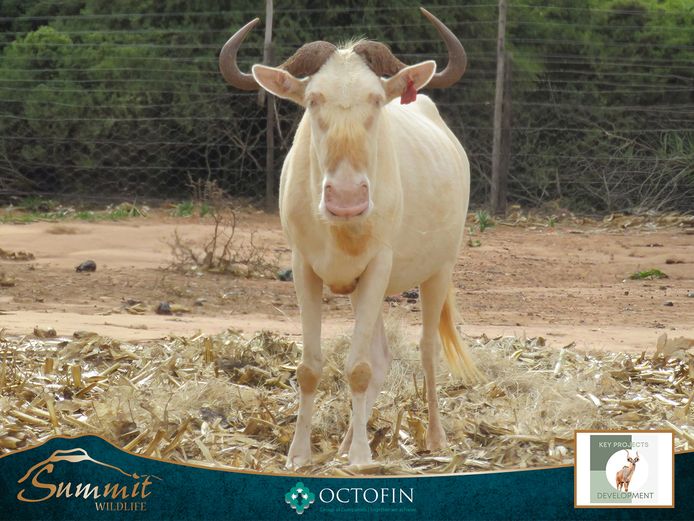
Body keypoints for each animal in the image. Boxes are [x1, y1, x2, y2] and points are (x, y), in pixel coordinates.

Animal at [219, 7, 484, 467]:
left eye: (376, 99)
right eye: (312, 100)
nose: (346, 200)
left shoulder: (379, 265)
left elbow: (359, 368)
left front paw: (361, 457)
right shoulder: (306, 269)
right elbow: (312, 367)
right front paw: (300, 453)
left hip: (438, 272)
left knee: (427, 349)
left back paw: (434, 438)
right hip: (368, 292)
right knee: (379, 357)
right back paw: (344, 441)